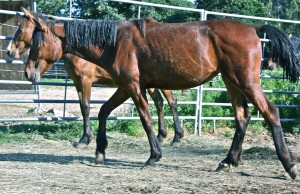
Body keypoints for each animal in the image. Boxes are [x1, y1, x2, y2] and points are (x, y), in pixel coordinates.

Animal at [6, 7, 183, 148]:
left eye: (20, 29)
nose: (9, 51)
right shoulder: (78, 83)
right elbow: (82, 107)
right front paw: (85, 138)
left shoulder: (86, 82)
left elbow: (86, 107)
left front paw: (86, 139)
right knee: (159, 102)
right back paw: (161, 136)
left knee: (171, 101)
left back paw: (176, 137)